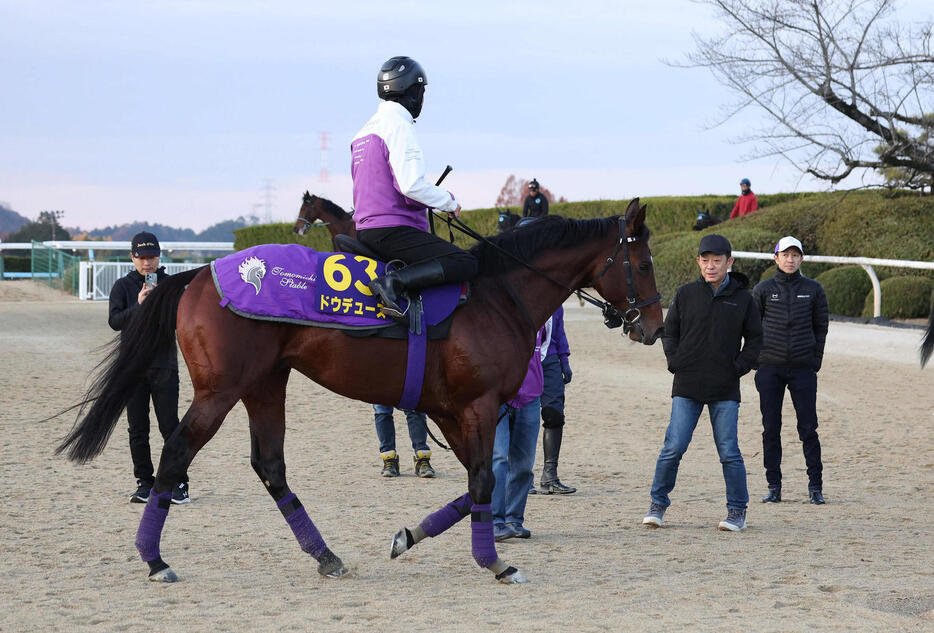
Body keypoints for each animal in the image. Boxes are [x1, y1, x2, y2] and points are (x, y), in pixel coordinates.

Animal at [54, 200, 664, 584]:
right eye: (642, 262)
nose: (654, 326)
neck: (498, 292)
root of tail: (201, 273)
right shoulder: (478, 405)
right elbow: (483, 481)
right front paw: (493, 561)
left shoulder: (451, 411)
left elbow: (473, 485)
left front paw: (409, 536)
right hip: (219, 391)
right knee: (177, 451)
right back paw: (154, 559)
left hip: (265, 386)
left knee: (270, 465)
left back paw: (325, 555)